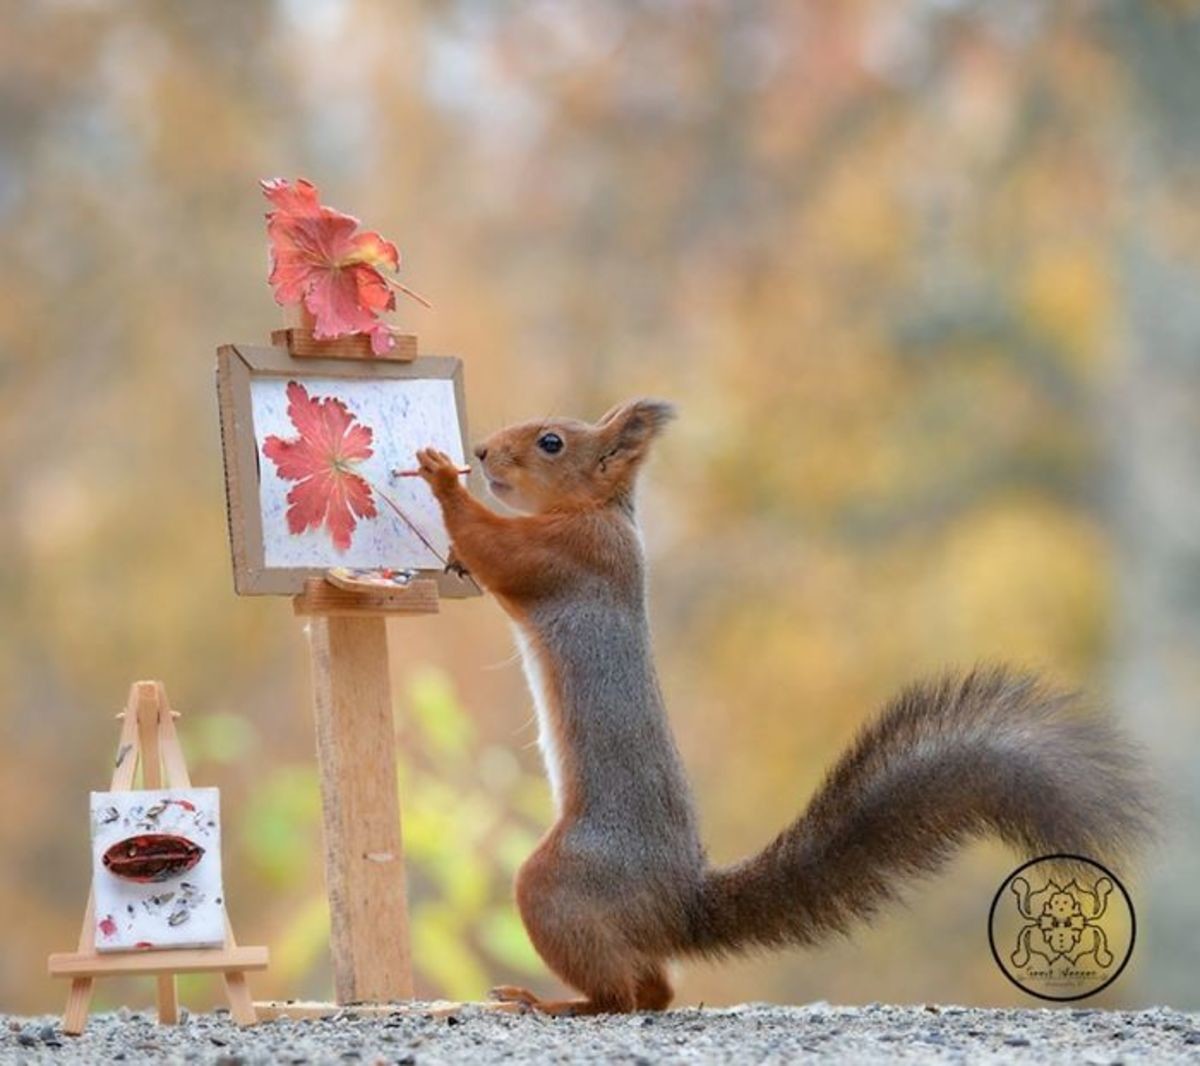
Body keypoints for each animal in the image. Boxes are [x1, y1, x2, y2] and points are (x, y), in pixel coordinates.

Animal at [412, 398, 1152, 1017]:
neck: (600, 511)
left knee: (626, 995)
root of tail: (678, 905)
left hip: (561, 884)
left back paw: (550, 1002)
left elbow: (501, 551)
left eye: (551, 442)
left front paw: (440, 481)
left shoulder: (569, 555)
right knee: (654, 991)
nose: (480, 451)